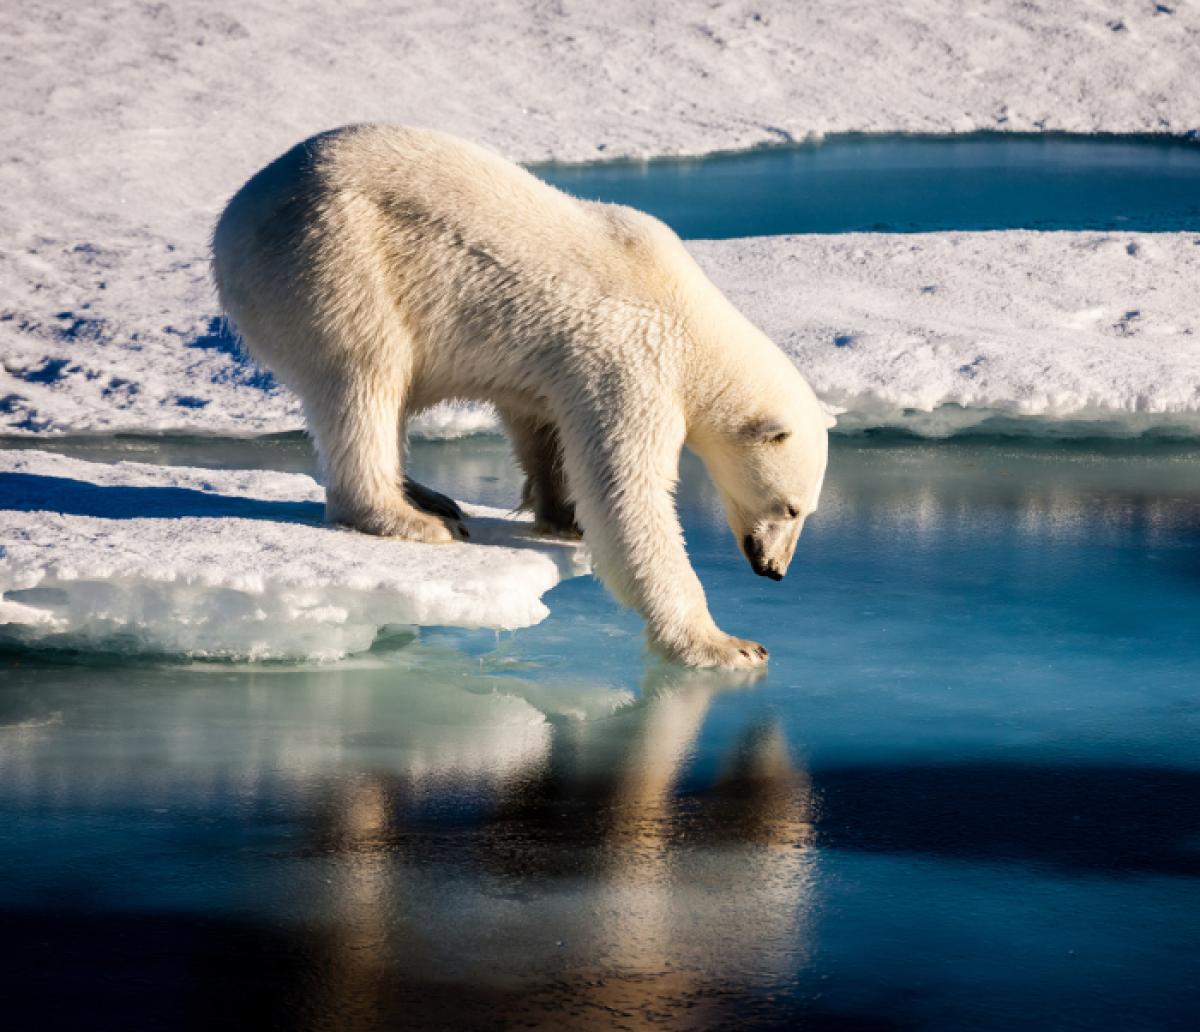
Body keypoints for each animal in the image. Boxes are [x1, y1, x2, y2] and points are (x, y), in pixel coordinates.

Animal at [216, 124, 830, 667]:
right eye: (790, 507)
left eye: (806, 510)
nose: (774, 569)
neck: (690, 319)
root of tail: (233, 218)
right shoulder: (633, 361)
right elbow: (628, 494)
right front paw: (728, 645)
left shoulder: (559, 367)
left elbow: (542, 426)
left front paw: (563, 515)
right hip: (335, 259)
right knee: (366, 376)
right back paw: (411, 518)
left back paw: (428, 496)